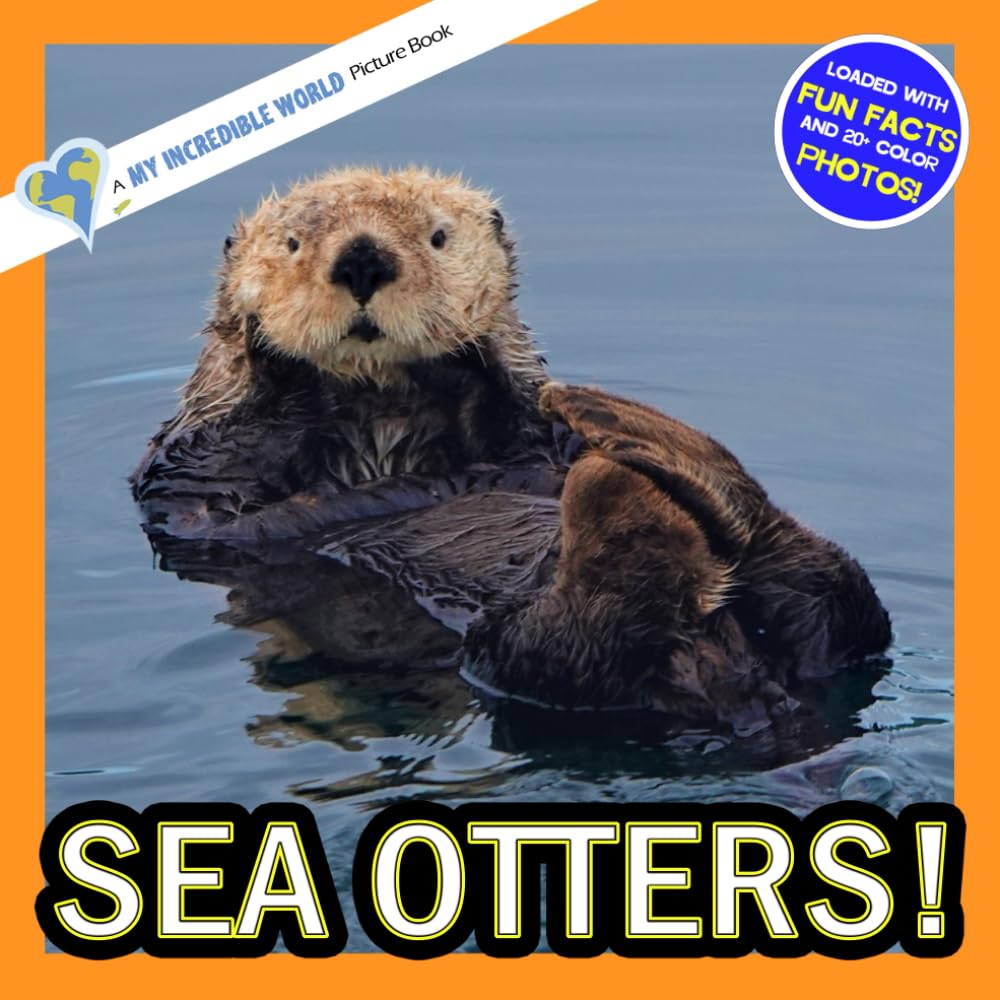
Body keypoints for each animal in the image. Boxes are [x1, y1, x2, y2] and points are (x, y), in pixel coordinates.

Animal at [133, 166, 891, 732]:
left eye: (438, 237)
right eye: (292, 243)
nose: (363, 258)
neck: (380, 414)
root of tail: (735, 680)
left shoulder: (531, 431)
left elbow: (526, 428)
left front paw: (474, 360)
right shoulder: (187, 468)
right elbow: (223, 474)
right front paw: (269, 347)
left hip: (806, 629)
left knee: (827, 588)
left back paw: (612, 428)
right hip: (530, 660)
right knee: (601, 624)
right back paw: (619, 475)